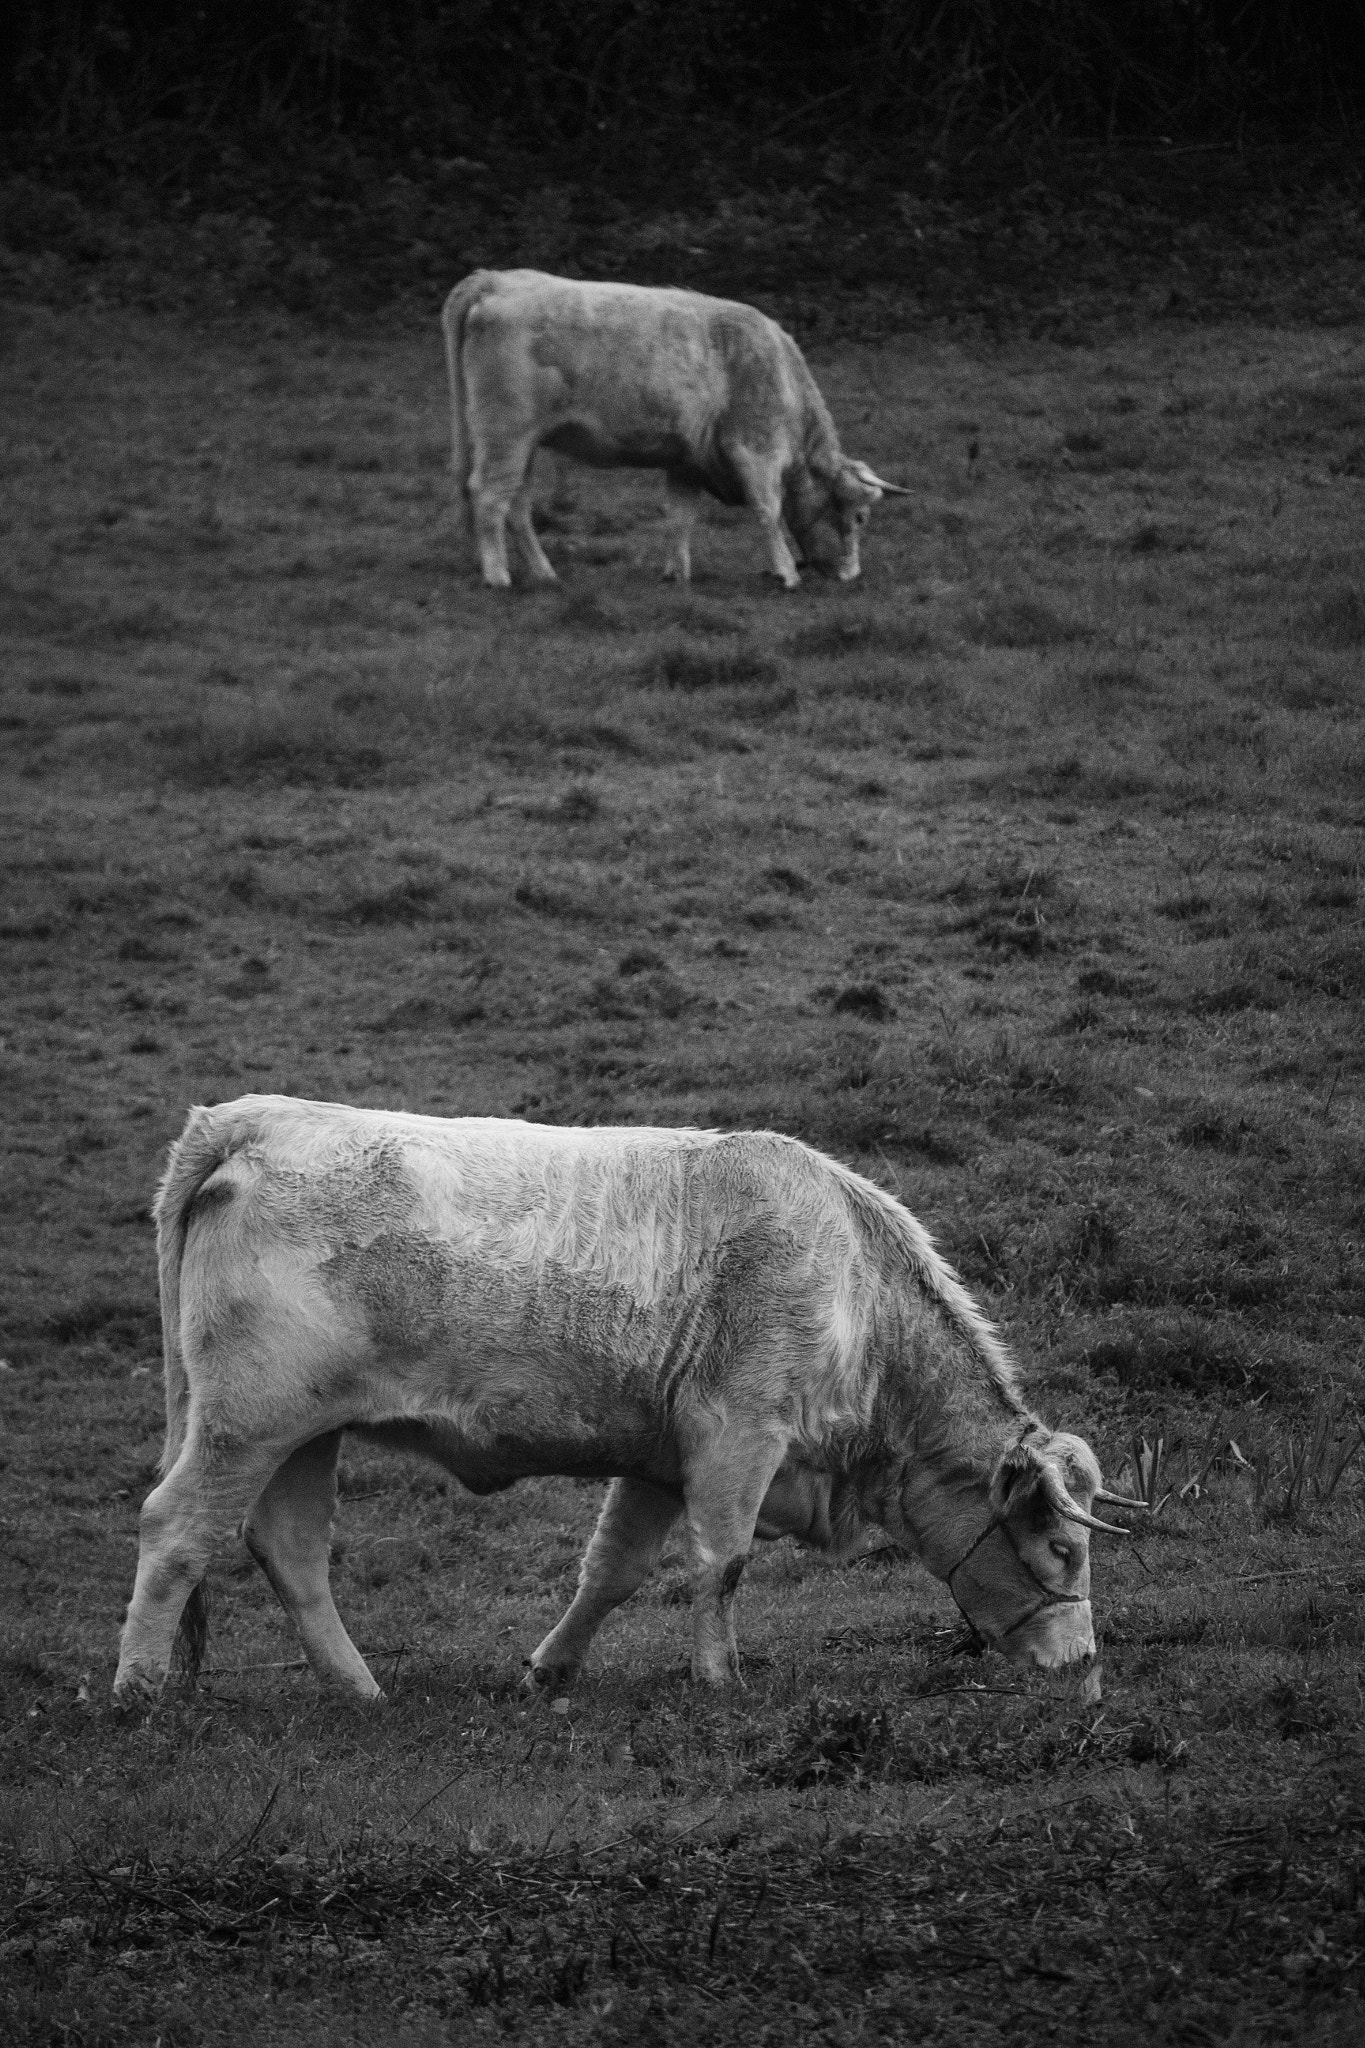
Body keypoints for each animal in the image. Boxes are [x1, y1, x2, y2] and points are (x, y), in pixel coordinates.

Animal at [113, 1098, 1140, 1707]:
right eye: (1061, 1548)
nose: (1085, 1670)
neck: (851, 1287)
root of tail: (251, 1118)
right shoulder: (737, 1435)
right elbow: (720, 1565)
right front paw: (719, 1680)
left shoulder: (658, 1457)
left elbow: (612, 1571)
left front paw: (550, 1668)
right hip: (249, 1422)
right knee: (176, 1528)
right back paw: (138, 1690)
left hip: (303, 1432)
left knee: (289, 1550)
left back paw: (361, 1689)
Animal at [440, 268, 909, 590]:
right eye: (861, 516)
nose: (851, 576)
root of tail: (496, 280)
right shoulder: (755, 450)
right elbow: (768, 510)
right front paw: (785, 572)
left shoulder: (687, 460)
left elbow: (680, 518)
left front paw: (677, 573)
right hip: (507, 434)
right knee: (489, 496)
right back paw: (498, 576)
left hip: (525, 443)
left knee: (517, 503)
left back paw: (543, 573)